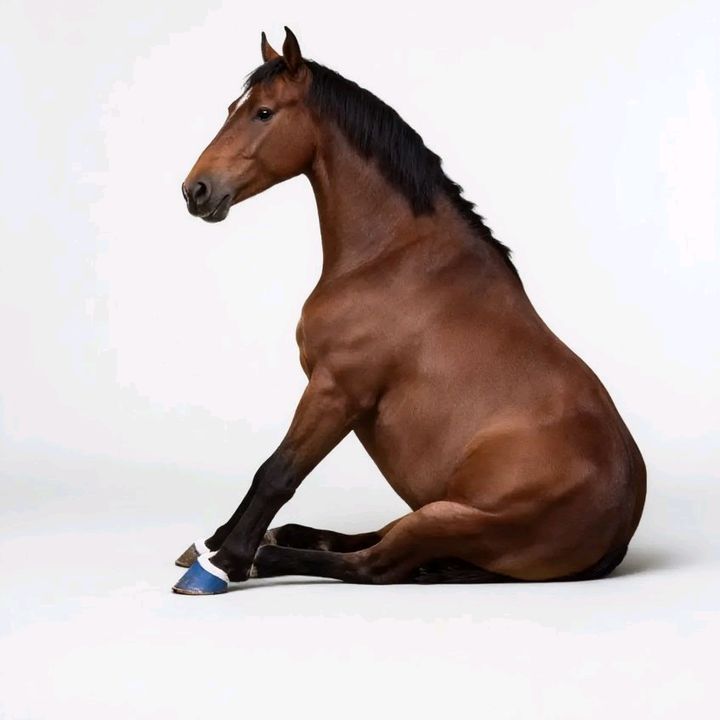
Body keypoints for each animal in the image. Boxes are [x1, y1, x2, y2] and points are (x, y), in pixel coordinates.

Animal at [172, 27, 646, 595]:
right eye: (232, 108)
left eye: (263, 113)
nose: (196, 190)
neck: (392, 257)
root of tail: (622, 523)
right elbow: (267, 474)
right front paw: (213, 543)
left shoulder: (337, 389)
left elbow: (276, 473)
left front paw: (222, 561)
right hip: (429, 512)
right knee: (368, 542)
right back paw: (283, 538)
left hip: (444, 518)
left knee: (374, 565)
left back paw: (267, 554)